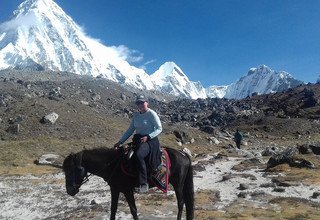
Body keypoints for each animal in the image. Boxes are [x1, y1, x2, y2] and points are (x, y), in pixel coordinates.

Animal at [61, 146, 194, 220]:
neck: (112, 164)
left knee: (181, 203)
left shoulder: (127, 190)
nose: (70, 190)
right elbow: (113, 209)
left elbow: (133, 210)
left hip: (178, 184)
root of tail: (183, 154)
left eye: (76, 169)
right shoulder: (115, 189)